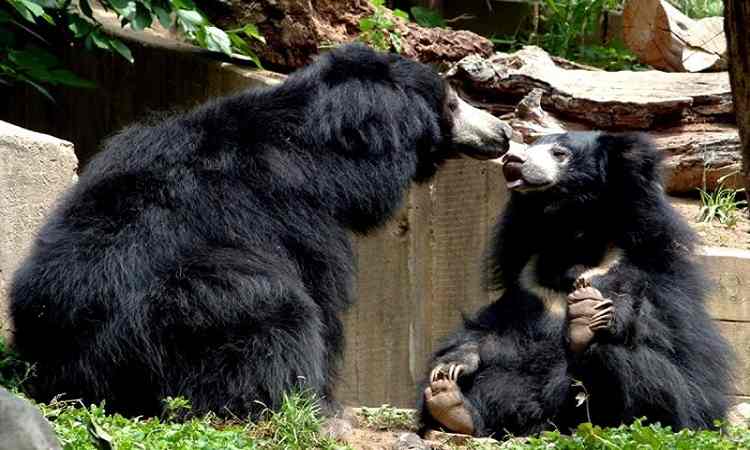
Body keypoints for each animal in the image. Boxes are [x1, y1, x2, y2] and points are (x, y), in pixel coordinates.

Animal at [9, 43, 512, 419]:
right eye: (450, 102)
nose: (503, 133)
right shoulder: (299, 218)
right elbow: (321, 295)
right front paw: (323, 402)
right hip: (186, 318)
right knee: (271, 309)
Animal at [418, 131, 734, 437]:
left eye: (560, 153)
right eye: (532, 145)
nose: (513, 160)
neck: (571, 235)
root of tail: (549, 424)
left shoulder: (647, 268)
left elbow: (662, 328)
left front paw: (588, 311)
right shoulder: (526, 285)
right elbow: (493, 329)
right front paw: (451, 366)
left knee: (619, 359)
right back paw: (452, 405)